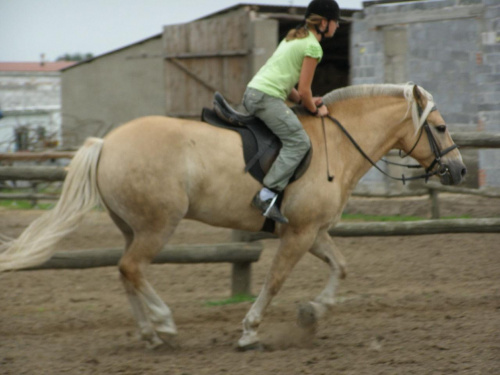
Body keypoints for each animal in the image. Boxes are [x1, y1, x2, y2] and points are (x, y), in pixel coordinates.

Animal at [0, 83, 464, 352]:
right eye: (441, 128)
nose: (458, 170)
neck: (337, 142)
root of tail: (106, 143)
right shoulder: (298, 234)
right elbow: (275, 280)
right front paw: (250, 330)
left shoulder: (311, 232)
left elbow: (341, 267)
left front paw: (311, 315)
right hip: (157, 225)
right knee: (132, 267)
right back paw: (165, 326)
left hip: (132, 226)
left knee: (125, 271)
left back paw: (150, 333)